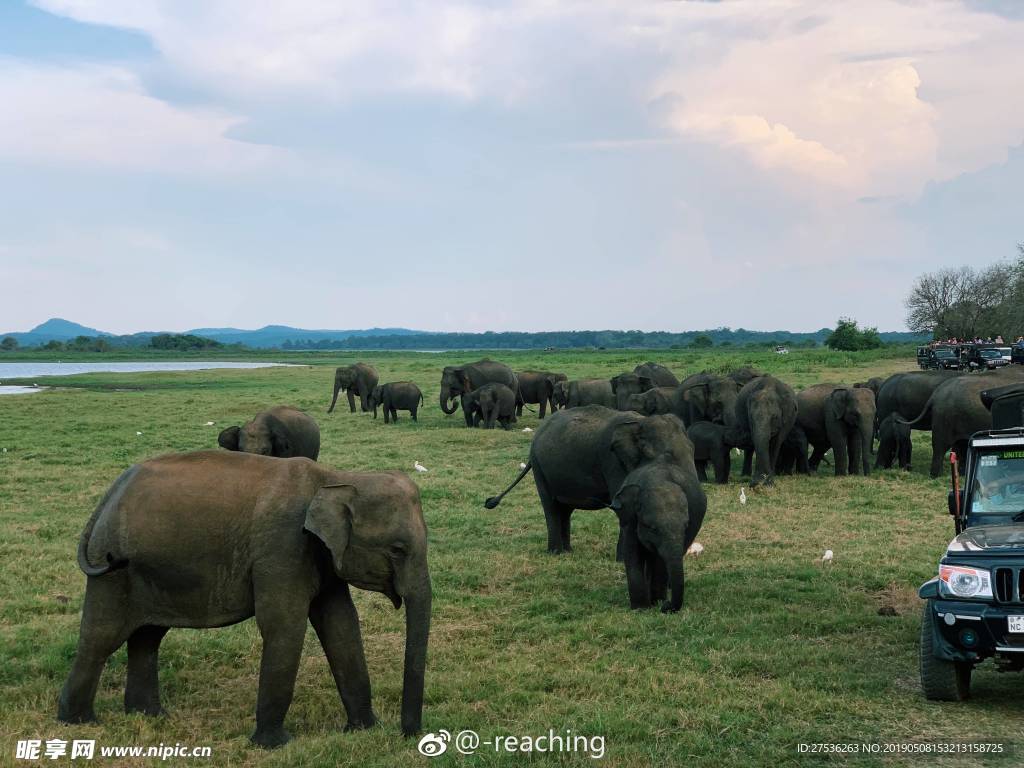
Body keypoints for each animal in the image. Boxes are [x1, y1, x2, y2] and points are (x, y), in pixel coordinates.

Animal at [56, 454, 432, 749]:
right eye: (398, 549)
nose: (409, 735)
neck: (335, 478)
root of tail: (110, 493)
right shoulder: (282, 548)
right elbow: (284, 626)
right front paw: (274, 745)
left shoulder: (322, 556)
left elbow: (340, 624)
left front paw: (364, 729)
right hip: (112, 570)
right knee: (102, 637)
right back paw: (78, 723)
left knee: (147, 636)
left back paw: (149, 715)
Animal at [485, 409, 704, 614]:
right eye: (665, 456)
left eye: (692, 449)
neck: (641, 421)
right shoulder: (613, 462)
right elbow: (622, 508)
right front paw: (621, 560)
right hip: (540, 468)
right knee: (551, 508)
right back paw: (556, 553)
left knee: (564, 511)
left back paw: (568, 551)